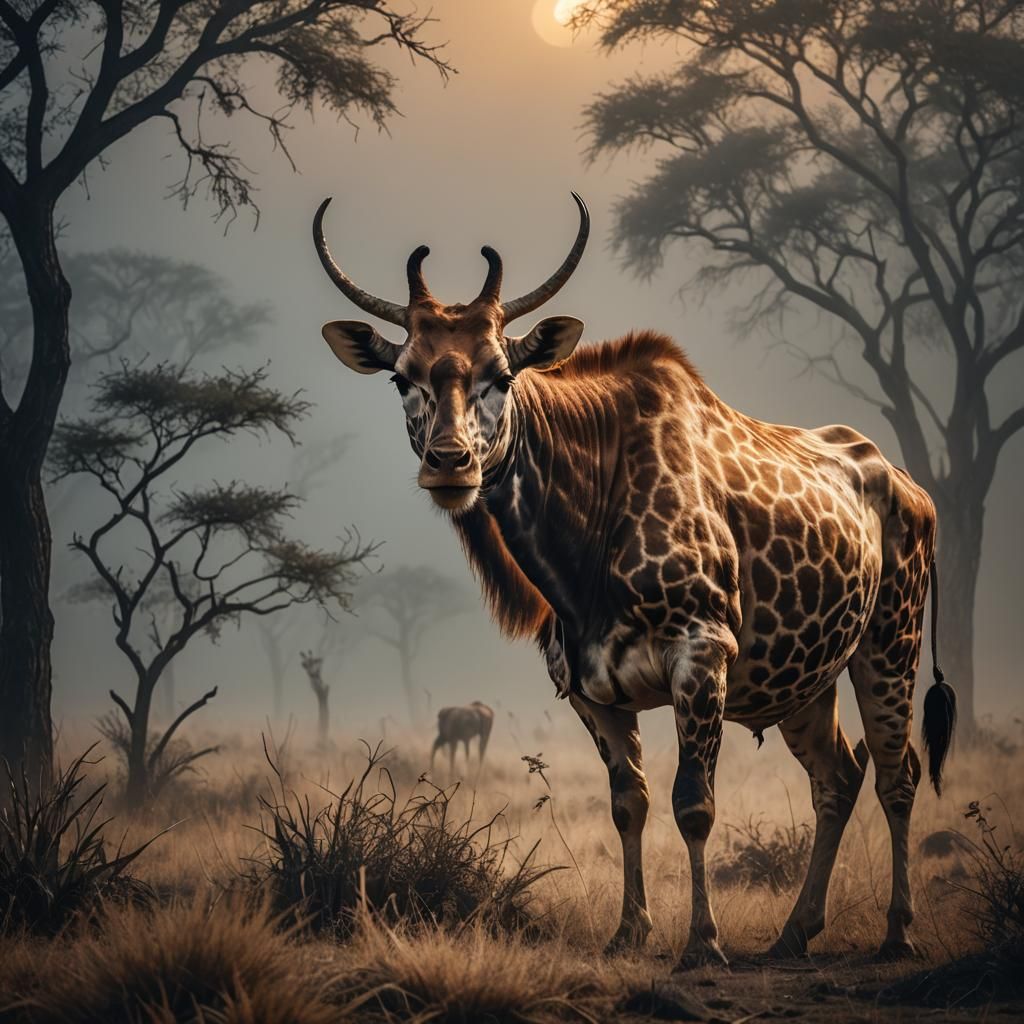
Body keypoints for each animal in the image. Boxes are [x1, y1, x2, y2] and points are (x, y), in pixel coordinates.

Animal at [312, 193, 957, 968]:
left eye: (501, 373)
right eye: (402, 375)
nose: (450, 462)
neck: (587, 539)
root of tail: (914, 490)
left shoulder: (701, 657)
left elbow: (694, 806)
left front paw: (703, 940)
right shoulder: (592, 690)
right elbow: (631, 804)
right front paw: (630, 929)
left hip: (890, 648)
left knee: (897, 773)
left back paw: (898, 930)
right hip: (805, 682)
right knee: (838, 778)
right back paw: (794, 930)